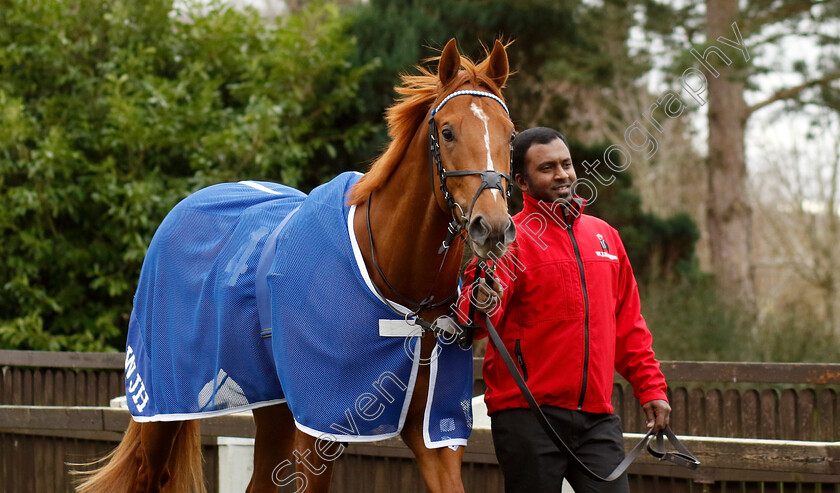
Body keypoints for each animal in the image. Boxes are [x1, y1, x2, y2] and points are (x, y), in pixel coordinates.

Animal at [77, 38, 512, 492]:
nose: (492, 226)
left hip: (274, 404)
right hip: (163, 399)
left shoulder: (435, 430)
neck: (399, 292)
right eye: (447, 131)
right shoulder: (324, 423)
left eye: (511, 134)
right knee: (149, 472)